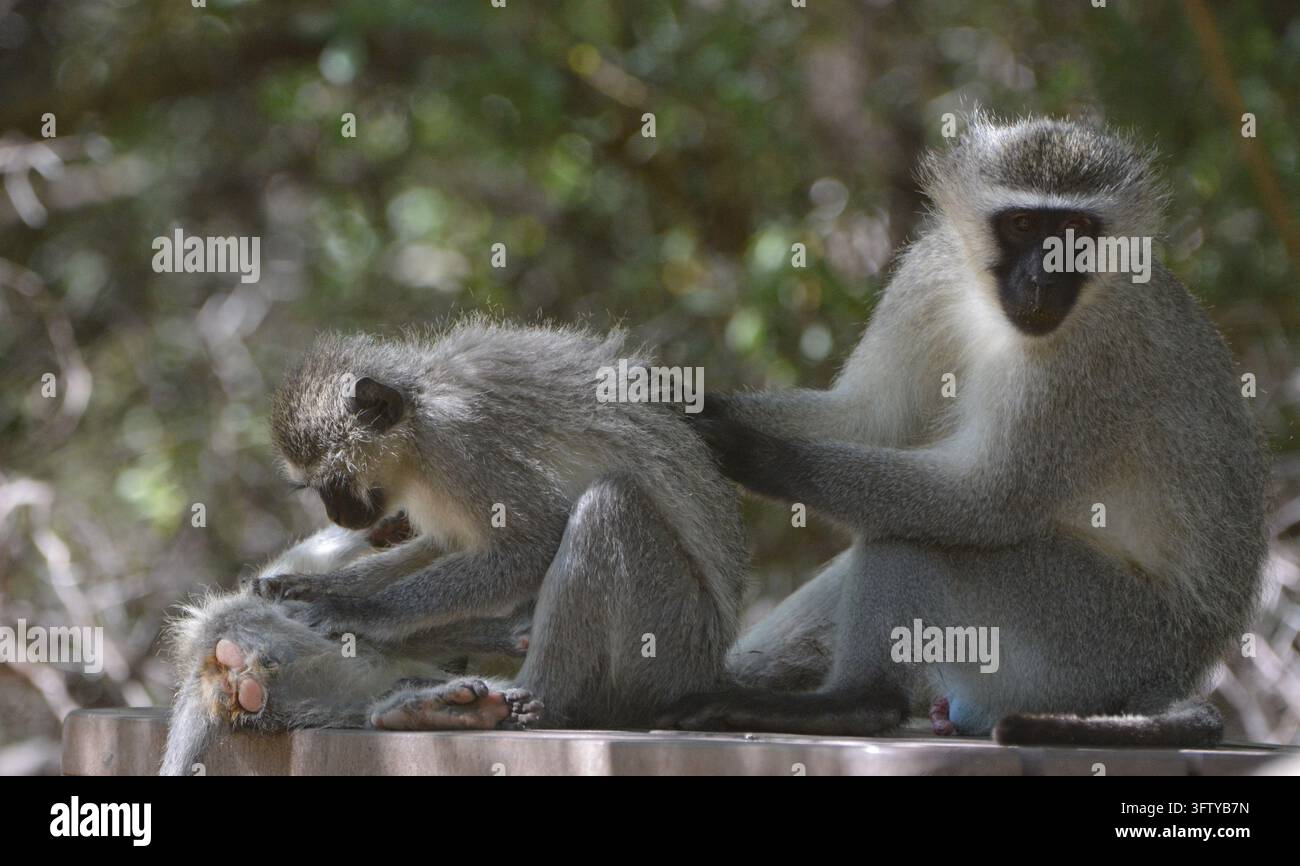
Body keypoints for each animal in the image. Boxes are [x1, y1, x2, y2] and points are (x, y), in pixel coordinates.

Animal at [240, 319, 748, 731]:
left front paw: (358, 611)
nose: (339, 517)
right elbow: (446, 545)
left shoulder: (460, 447)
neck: (418, 419)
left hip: (671, 643)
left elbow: (534, 544)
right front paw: (310, 586)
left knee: (609, 507)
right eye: (316, 488)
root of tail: (708, 669)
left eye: (337, 482)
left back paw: (531, 702)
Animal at [660, 114, 1268, 747]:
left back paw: (854, 704)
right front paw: (679, 397)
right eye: (1023, 225)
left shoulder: (1090, 359)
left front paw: (756, 454)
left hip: (1094, 636)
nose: (1043, 279)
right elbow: (868, 417)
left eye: (1075, 230)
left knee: (914, 538)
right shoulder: (928, 273)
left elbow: (986, 503)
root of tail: (1172, 673)